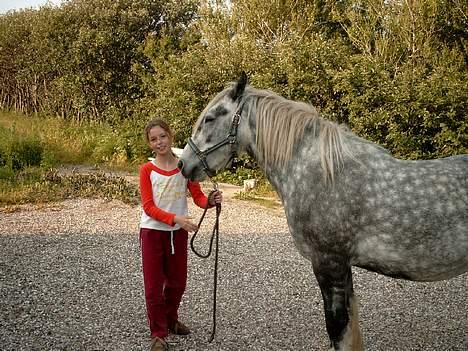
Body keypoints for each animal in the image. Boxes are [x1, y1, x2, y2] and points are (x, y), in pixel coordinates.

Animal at [176, 72, 468, 351]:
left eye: (210, 118)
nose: (183, 164)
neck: (324, 173)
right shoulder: (341, 268)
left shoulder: (329, 263)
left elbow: (338, 330)